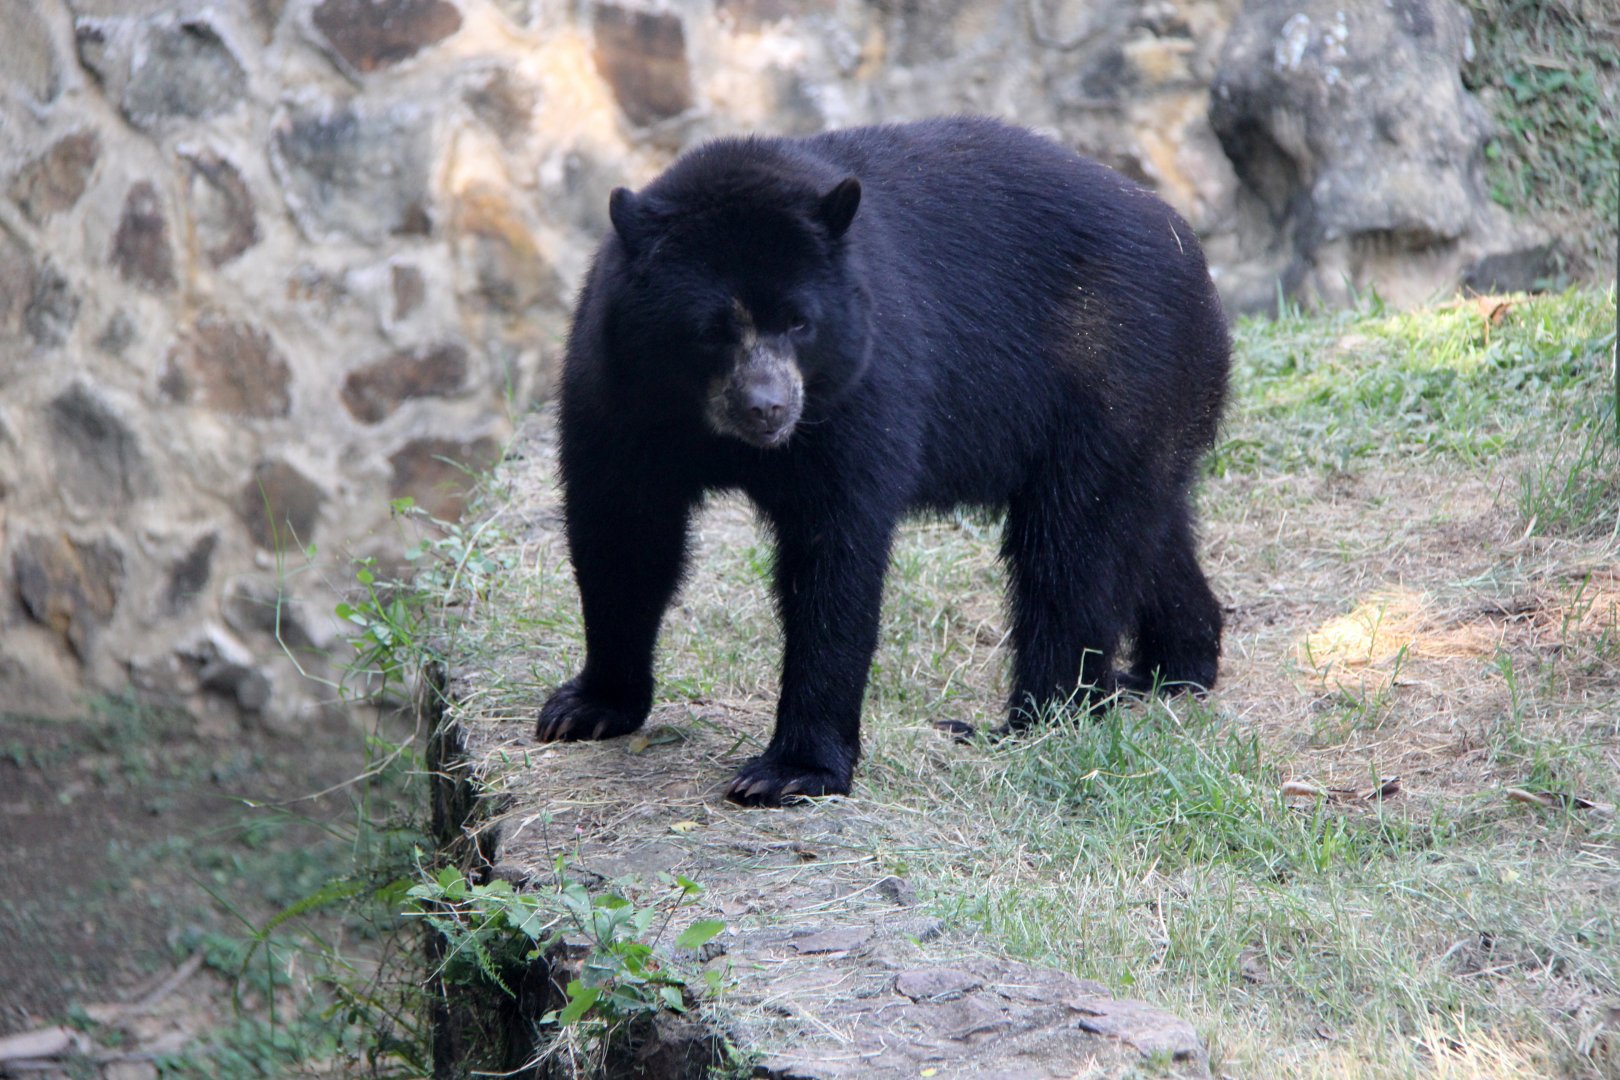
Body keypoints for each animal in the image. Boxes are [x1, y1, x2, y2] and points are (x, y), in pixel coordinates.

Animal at [537, 116, 1229, 807]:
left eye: (800, 322)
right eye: (710, 329)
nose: (767, 407)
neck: (717, 432)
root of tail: (1193, 257)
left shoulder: (860, 391)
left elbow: (835, 564)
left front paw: (790, 772)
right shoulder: (616, 396)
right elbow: (625, 537)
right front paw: (587, 707)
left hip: (1109, 373)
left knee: (1072, 552)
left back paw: (1029, 718)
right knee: (1143, 530)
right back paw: (1170, 669)